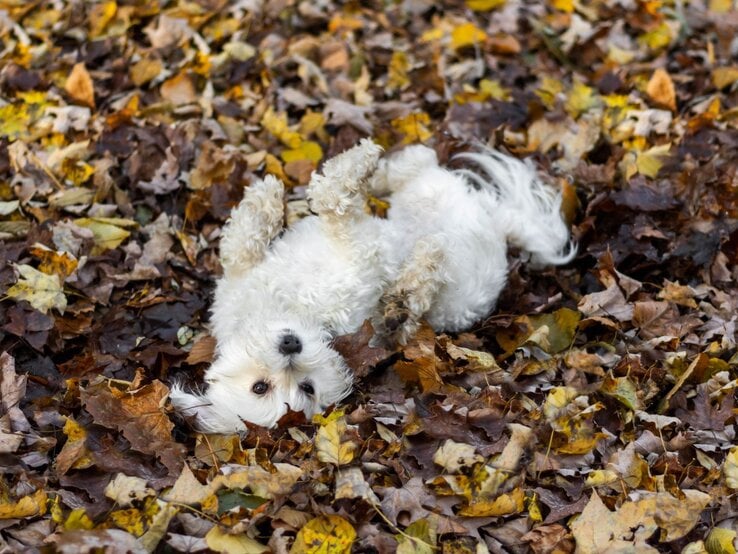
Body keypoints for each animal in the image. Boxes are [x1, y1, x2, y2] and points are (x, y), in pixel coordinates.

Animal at [170, 138, 572, 432]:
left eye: (303, 387)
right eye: (263, 387)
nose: (290, 346)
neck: (288, 306)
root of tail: (497, 228)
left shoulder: (251, 273)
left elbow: (245, 240)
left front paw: (265, 197)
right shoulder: (358, 255)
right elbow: (331, 204)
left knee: (415, 163)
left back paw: (375, 172)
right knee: (424, 219)